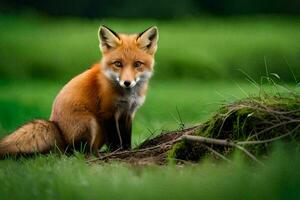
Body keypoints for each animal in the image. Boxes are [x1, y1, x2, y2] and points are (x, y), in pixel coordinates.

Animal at [0, 25, 159, 157]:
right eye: (118, 64)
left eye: (137, 64)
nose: (127, 82)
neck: (128, 95)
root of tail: (56, 127)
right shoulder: (107, 112)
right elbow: (115, 138)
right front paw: (117, 152)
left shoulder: (128, 112)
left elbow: (126, 137)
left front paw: (127, 150)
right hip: (90, 122)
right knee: (76, 151)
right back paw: (94, 155)